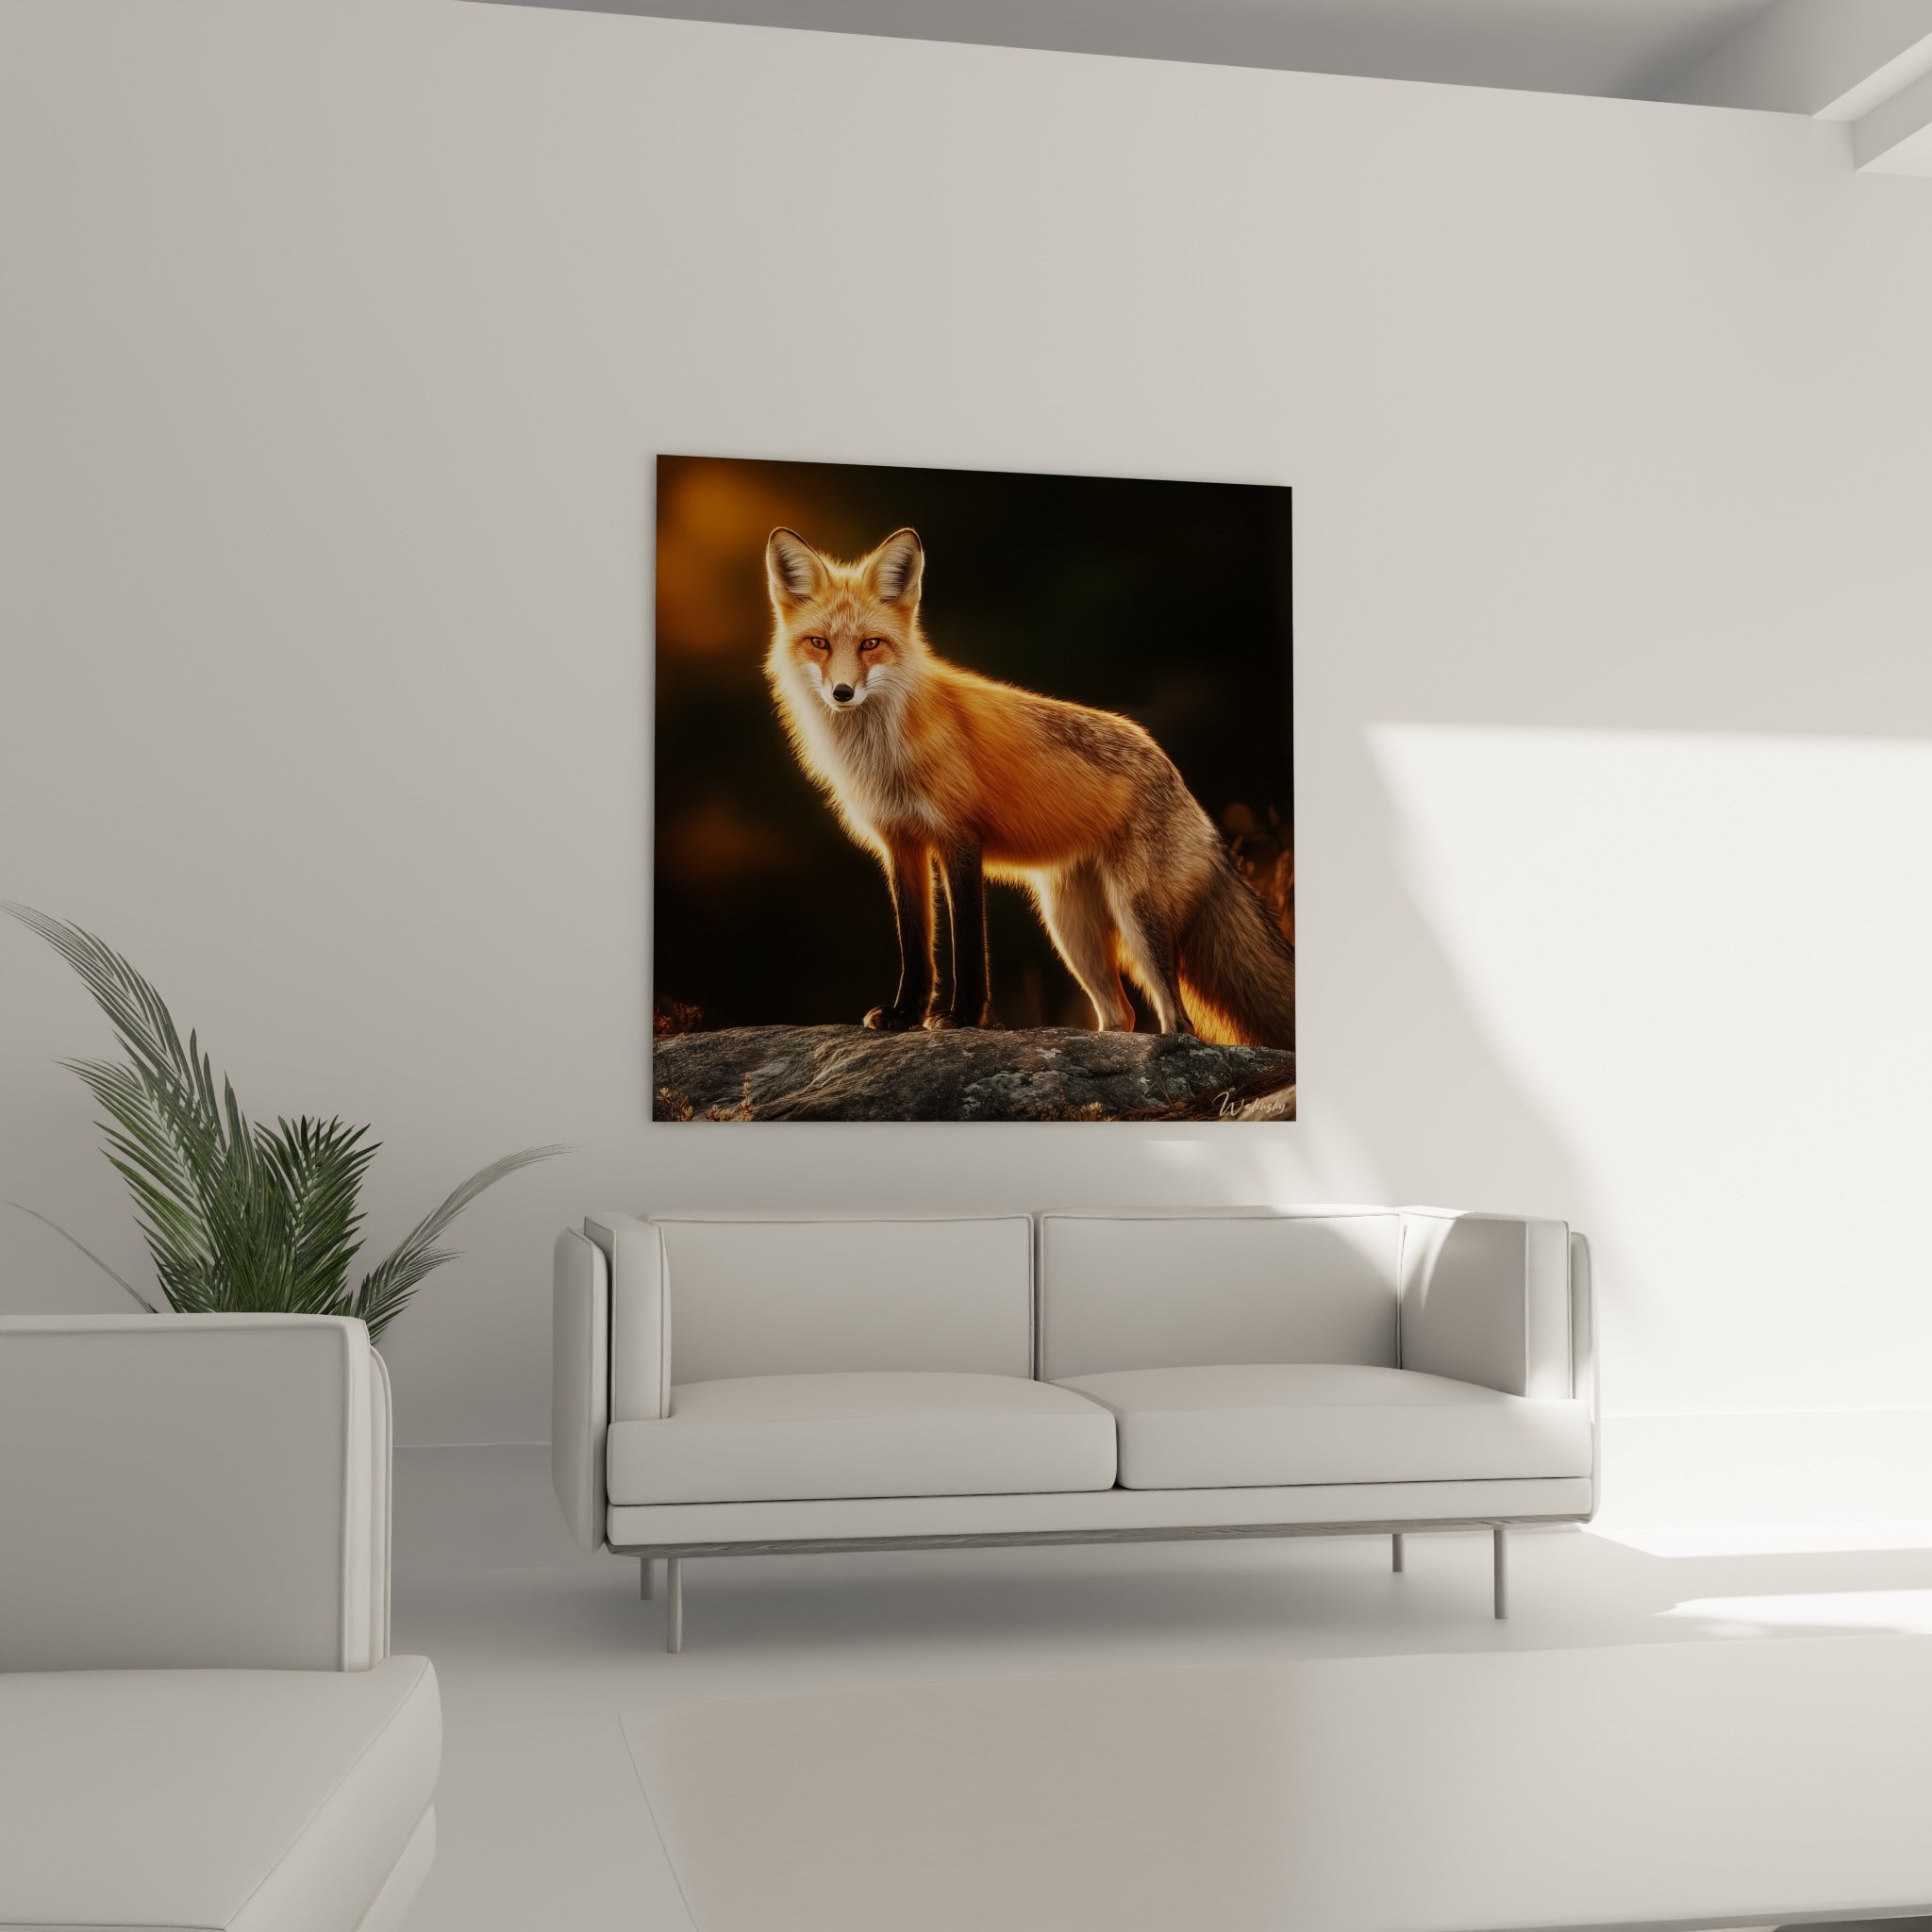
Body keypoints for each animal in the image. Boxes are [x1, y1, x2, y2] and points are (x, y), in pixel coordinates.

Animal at [763, 525, 1296, 1048]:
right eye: (819, 643)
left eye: (870, 644)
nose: (842, 693)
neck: (884, 750)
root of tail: (1178, 778)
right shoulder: (901, 843)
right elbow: (915, 947)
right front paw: (905, 1014)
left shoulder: (960, 838)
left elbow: (969, 946)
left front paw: (964, 1018)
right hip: (1070, 928)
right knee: (1121, 1015)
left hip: (1137, 919)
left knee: (1179, 1022)